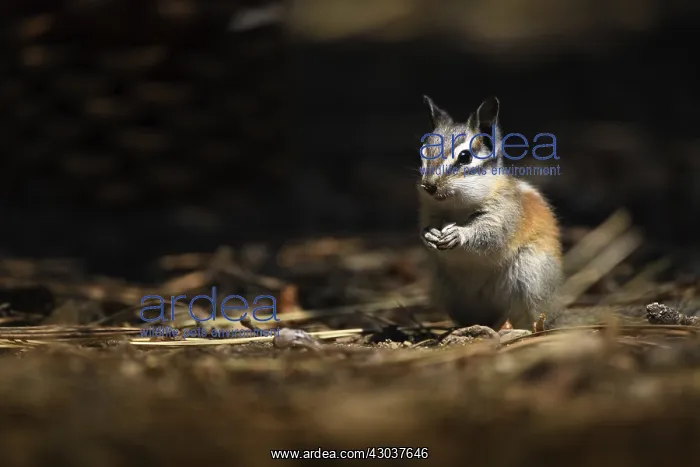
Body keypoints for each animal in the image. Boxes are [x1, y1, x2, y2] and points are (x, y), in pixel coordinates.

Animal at [418, 95, 563, 331]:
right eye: (423, 152)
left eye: (465, 157)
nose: (429, 186)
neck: (458, 207)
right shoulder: (430, 212)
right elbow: (425, 228)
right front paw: (429, 235)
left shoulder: (503, 214)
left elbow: (491, 234)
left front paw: (459, 234)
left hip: (531, 276)